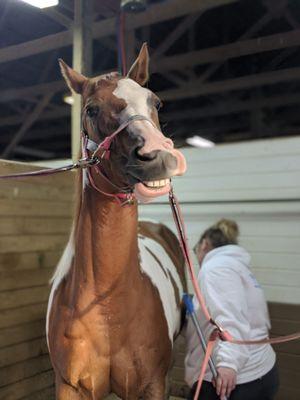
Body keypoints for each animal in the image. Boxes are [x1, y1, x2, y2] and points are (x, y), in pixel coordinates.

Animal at [46, 43, 188, 400]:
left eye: (156, 102)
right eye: (91, 110)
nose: (159, 155)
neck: (109, 311)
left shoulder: (153, 385)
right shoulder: (68, 386)